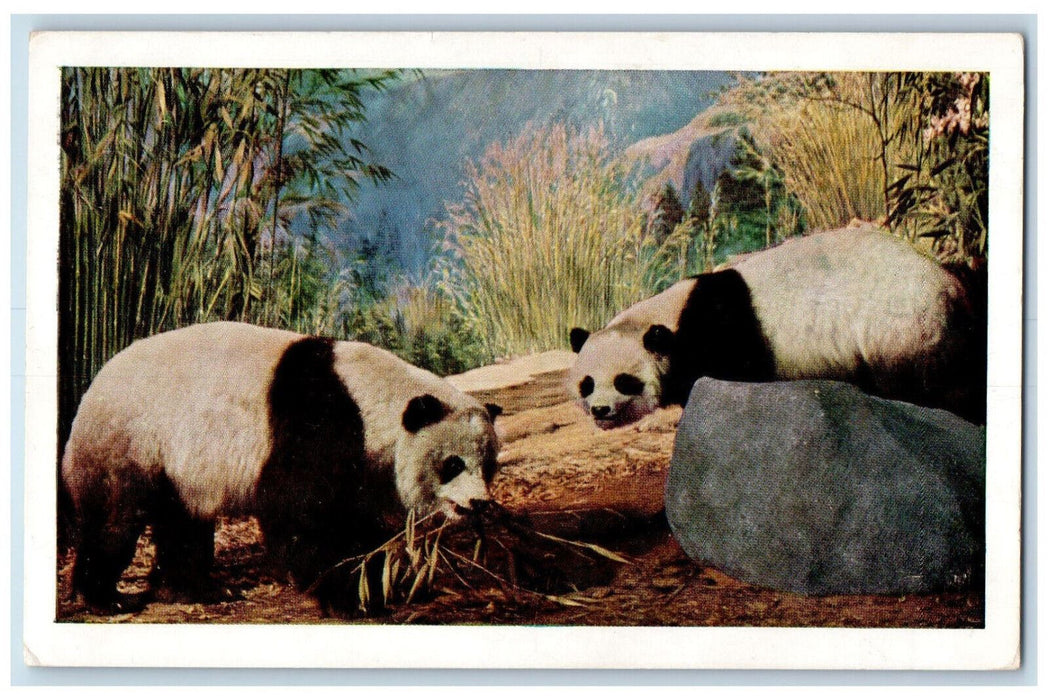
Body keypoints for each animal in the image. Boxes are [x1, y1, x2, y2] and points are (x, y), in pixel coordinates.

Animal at [61, 321, 502, 615]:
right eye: (453, 464)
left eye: (488, 465)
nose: (478, 503)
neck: (375, 399)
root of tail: (92, 386)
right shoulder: (318, 417)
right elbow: (300, 508)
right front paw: (351, 596)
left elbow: (356, 517)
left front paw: (380, 580)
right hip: (132, 439)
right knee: (116, 517)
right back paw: (105, 598)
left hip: (179, 465)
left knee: (182, 521)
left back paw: (194, 591)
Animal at [568, 227, 985, 428]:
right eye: (587, 383)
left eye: (625, 381)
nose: (601, 410)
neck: (670, 320)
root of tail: (950, 281)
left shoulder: (721, 334)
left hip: (902, 325)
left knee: (937, 384)